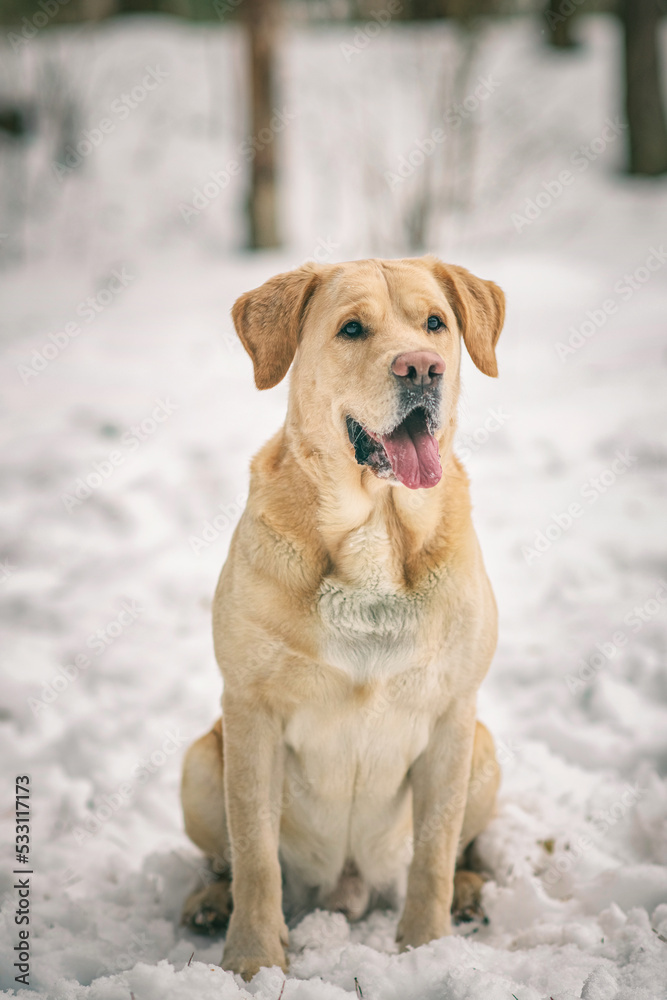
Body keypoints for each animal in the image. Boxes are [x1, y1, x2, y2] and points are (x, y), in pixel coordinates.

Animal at [181, 254, 506, 980]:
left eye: (435, 324)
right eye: (352, 328)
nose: (421, 368)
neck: (375, 532)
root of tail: (347, 889)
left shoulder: (452, 716)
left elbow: (434, 854)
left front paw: (427, 950)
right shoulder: (250, 712)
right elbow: (255, 854)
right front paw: (251, 960)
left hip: (483, 751)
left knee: (459, 850)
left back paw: (470, 891)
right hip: (201, 760)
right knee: (223, 859)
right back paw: (208, 901)